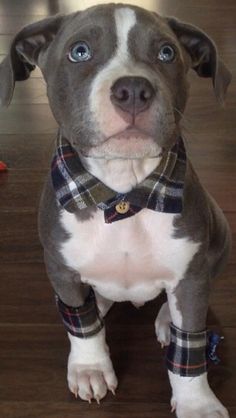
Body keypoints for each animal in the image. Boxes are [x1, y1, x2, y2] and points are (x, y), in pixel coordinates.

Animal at [0, 4, 232, 418]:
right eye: (79, 52)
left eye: (167, 53)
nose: (133, 90)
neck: (122, 189)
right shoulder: (59, 266)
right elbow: (81, 324)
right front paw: (90, 368)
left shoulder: (191, 275)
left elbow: (190, 346)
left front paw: (198, 404)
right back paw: (103, 301)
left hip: (221, 233)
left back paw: (163, 318)